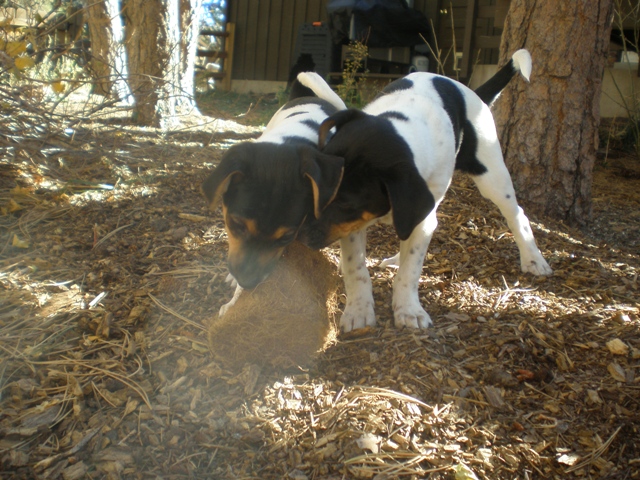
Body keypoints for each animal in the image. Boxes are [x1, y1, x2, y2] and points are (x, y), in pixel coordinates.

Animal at [300, 50, 556, 332]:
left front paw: (408, 310)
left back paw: (533, 259)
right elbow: (356, 268)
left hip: (491, 175)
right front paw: (358, 310)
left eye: (346, 203)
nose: (300, 234)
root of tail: (471, 92)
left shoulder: (417, 216)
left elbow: (410, 270)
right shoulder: (355, 226)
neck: (403, 127)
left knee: (517, 214)